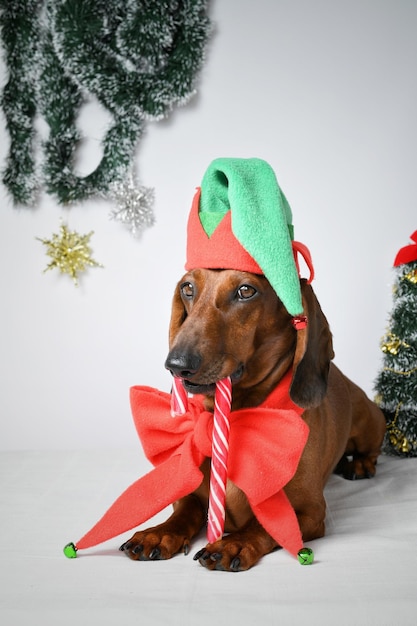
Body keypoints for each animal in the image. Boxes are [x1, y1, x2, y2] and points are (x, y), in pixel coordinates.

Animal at [118, 266, 386, 568]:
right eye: (187, 288)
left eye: (246, 291)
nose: (176, 365)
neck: (235, 419)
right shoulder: (192, 497)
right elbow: (182, 514)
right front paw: (158, 533)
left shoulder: (310, 511)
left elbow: (262, 526)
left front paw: (233, 543)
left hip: (369, 424)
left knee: (372, 449)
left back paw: (360, 465)